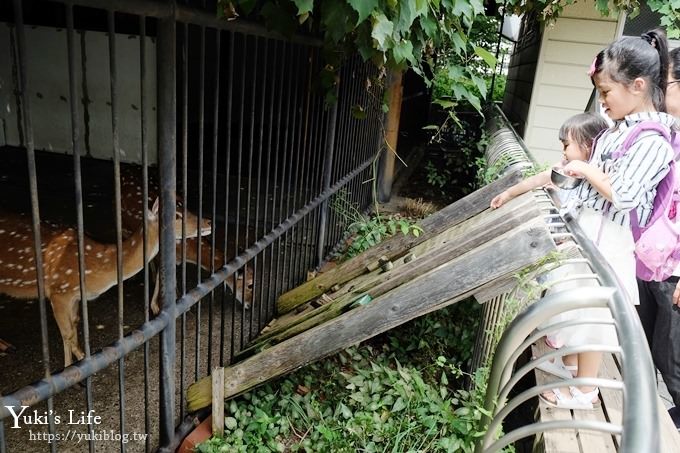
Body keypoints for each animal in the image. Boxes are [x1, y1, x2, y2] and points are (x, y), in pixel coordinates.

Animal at [0, 198, 211, 368]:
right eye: (176, 215)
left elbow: (74, 326)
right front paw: (72, 370)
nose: (209, 221)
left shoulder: (74, 296)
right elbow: (68, 333)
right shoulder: (59, 291)